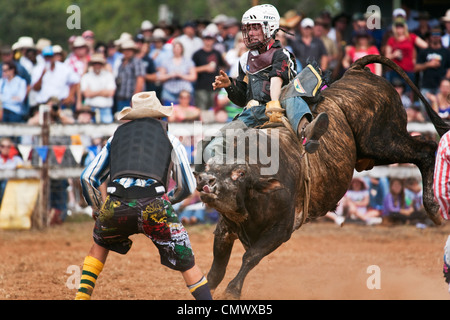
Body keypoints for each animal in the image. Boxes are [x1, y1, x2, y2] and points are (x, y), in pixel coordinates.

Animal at [194, 53, 450, 298]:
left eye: (240, 173)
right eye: (212, 165)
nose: (205, 181)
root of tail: (356, 72)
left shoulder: (282, 229)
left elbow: (251, 257)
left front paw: (232, 290)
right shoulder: (226, 225)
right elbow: (218, 265)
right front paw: (209, 287)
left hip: (382, 141)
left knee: (426, 149)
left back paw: (433, 208)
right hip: (374, 152)